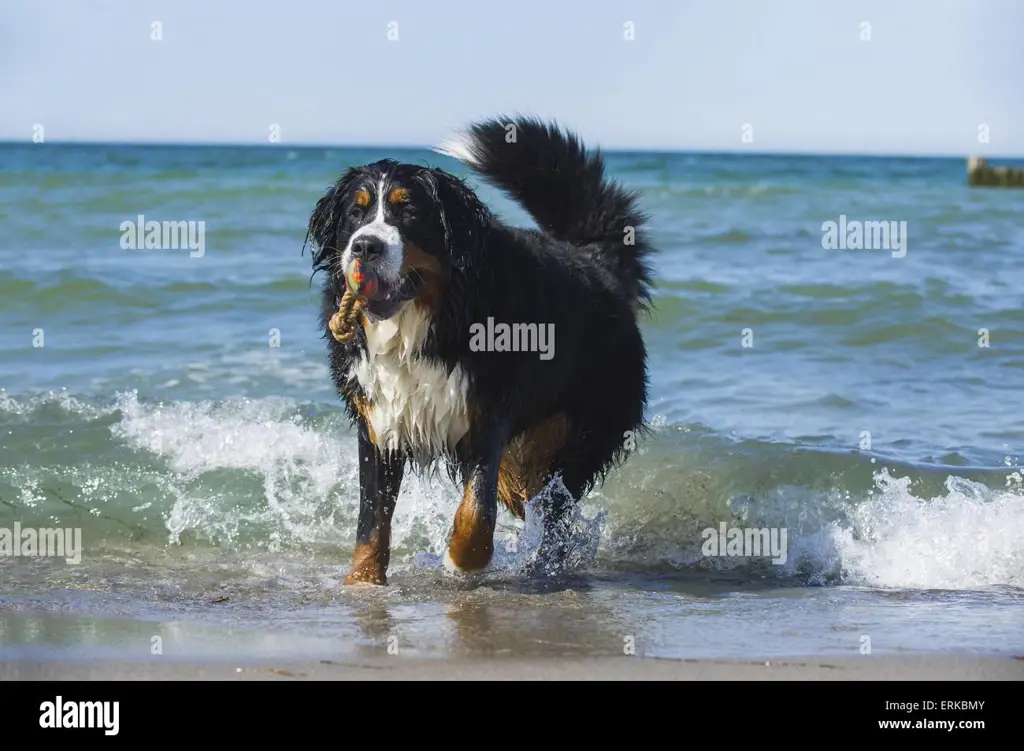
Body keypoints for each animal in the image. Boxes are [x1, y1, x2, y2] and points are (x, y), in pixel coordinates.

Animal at [305, 115, 655, 586]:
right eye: (355, 213)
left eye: (408, 210)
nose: (364, 245)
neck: (425, 324)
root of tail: (598, 262)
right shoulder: (379, 422)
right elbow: (372, 520)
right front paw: (362, 582)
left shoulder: (487, 413)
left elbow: (476, 508)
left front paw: (463, 559)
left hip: (575, 438)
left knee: (554, 511)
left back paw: (542, 569)